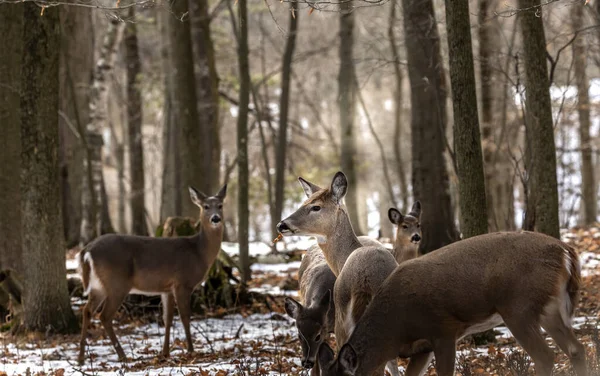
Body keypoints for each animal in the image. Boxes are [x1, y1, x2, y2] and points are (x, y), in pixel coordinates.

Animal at [78, 184, 229, 364]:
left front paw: (165, 353)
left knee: (87, 310)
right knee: (104, 316)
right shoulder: (182, 283)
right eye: (205, 206)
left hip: (98, 285)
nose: (215, 218)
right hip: (117, 283)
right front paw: (191, 351)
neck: (199, 252)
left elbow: (167, 319)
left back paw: (81, 358)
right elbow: (185, 316)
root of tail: (87, 250)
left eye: (220, 205)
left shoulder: (167, 288)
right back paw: (123, 356)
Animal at [276, 173, 422, 376]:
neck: (343, 259)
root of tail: (365, 282)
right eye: (304, 202)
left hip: (343, 321)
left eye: (316, 206)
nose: (282, 224)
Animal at [318, 231, 584, 376]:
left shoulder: (443, 330)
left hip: (518, 307)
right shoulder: (422, 347)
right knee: (575, 349)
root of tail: (566, 251)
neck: (395, 330)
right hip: (549, 308)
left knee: (546, 355)